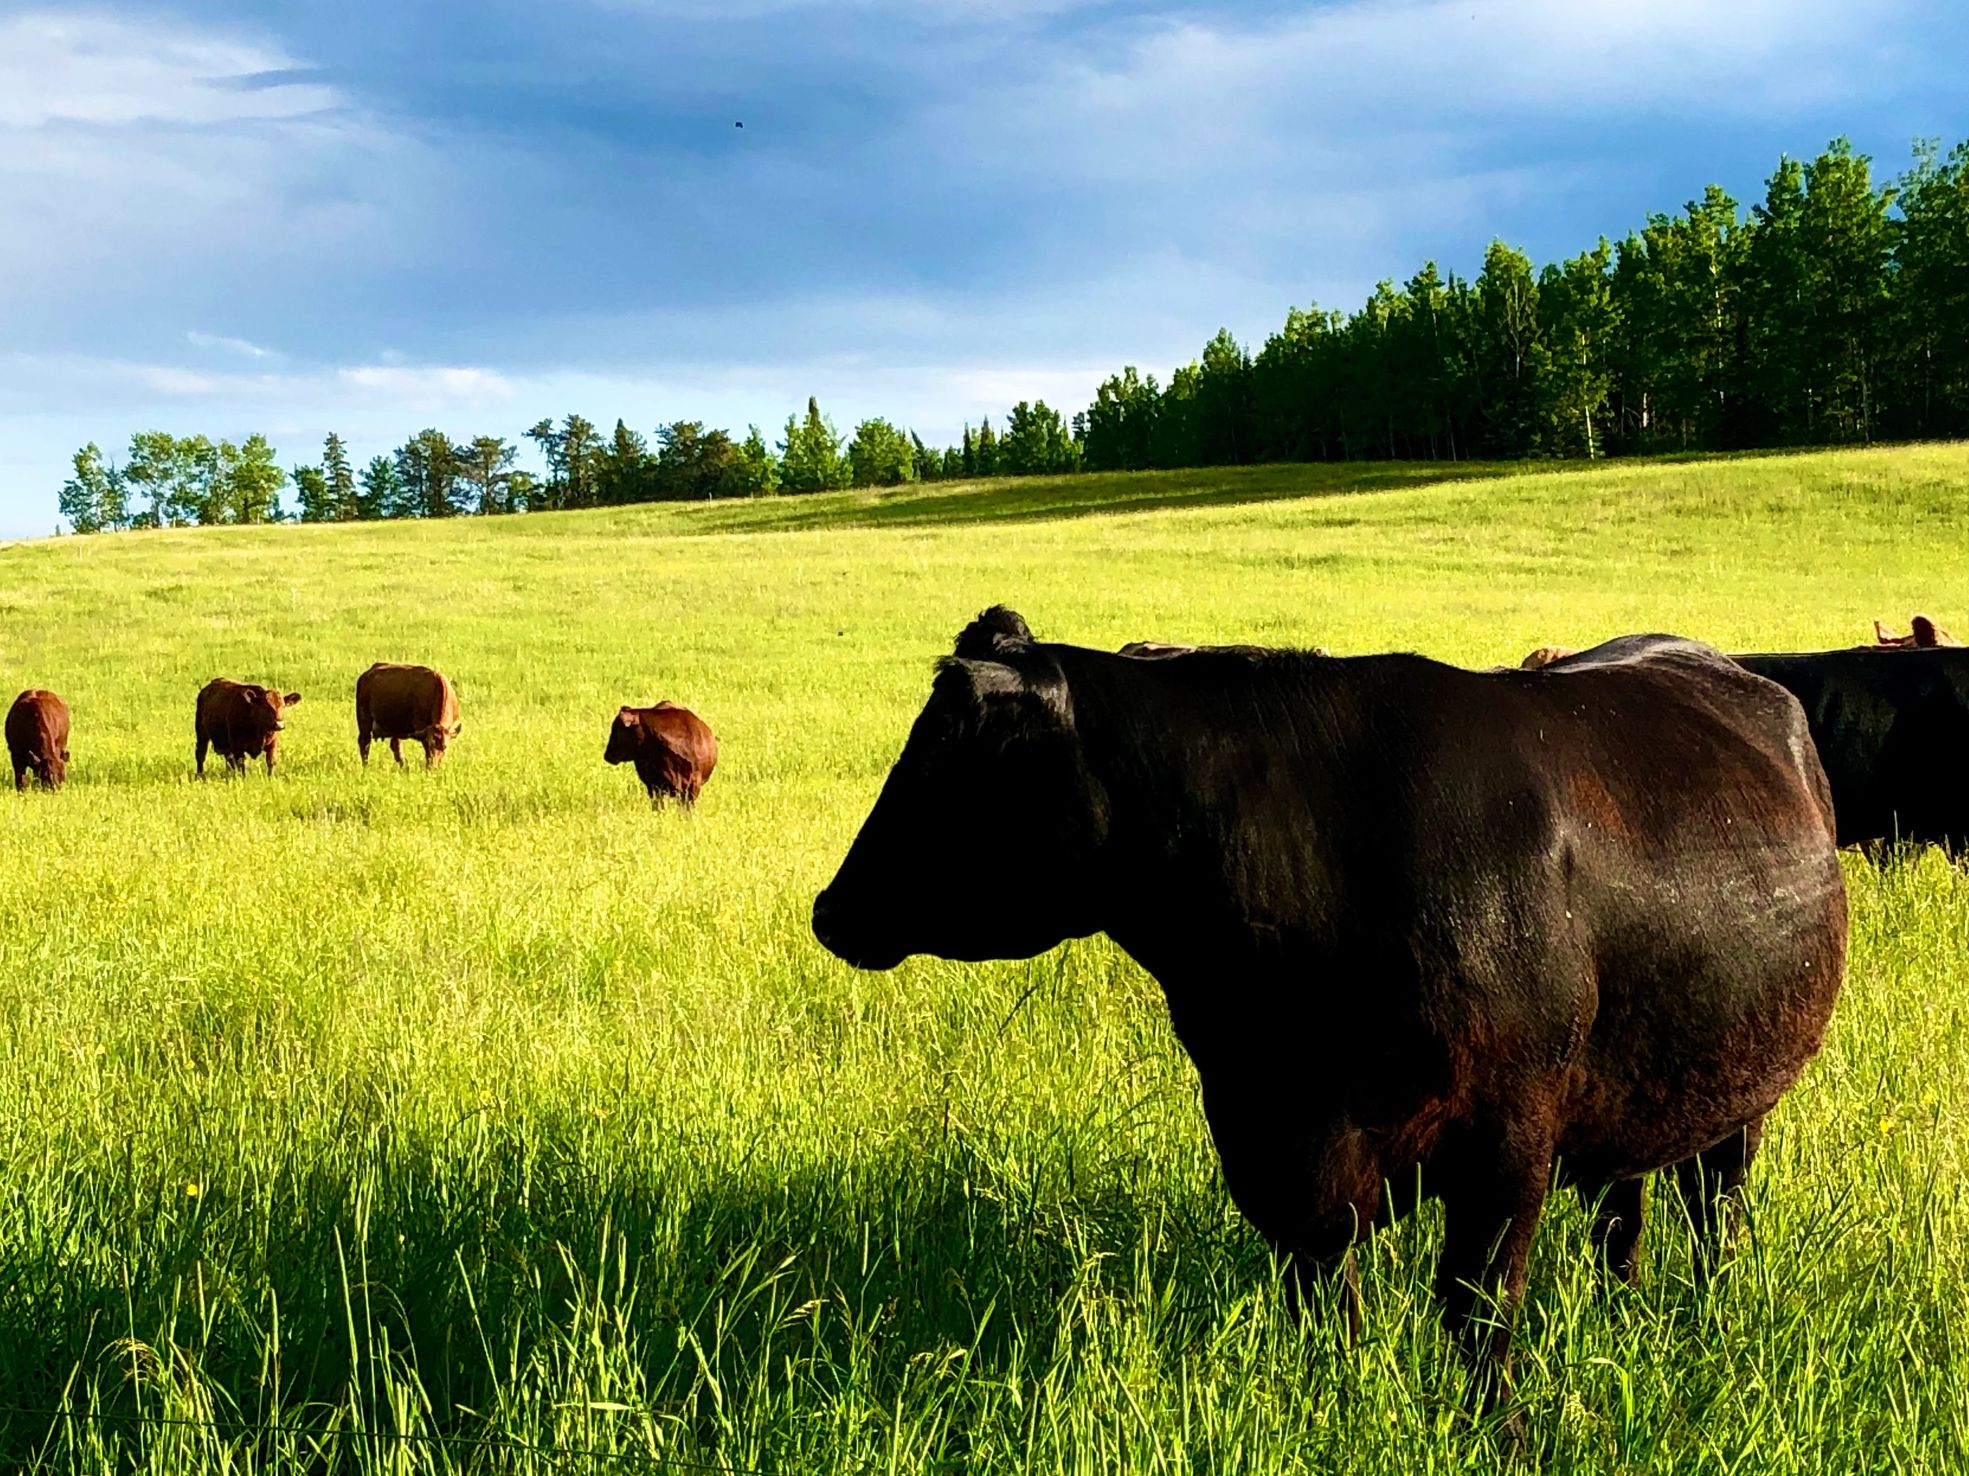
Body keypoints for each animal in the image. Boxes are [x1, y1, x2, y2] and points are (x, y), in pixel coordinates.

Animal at [811, 606, 1842, 1393]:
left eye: (954, 770)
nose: (832, 908)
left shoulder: (1510, 1130)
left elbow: (1475, 1310)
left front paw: (1492, 1430)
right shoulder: (1266, 1128)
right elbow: (1321, 1295)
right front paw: (1334, 1401)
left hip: (1738, 1093)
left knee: (1713, 1207)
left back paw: (1701, 1314)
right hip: (1635, 1086)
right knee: (1623, 1209)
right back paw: (1621, 1308)